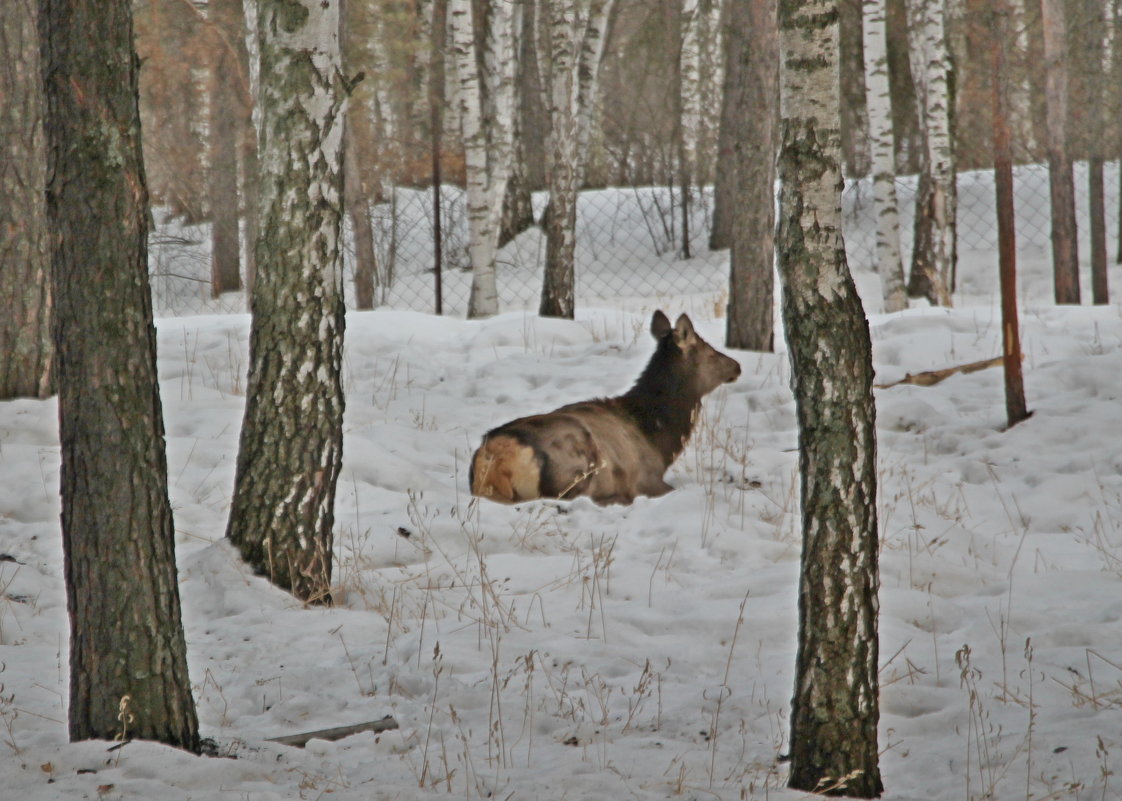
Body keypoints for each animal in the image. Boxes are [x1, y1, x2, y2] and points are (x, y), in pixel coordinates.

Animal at [468, 309, 740, 502]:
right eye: (710, 351)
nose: (737, 365)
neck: (659, 440)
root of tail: (495, 460)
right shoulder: (647, 478)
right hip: (573, 464)